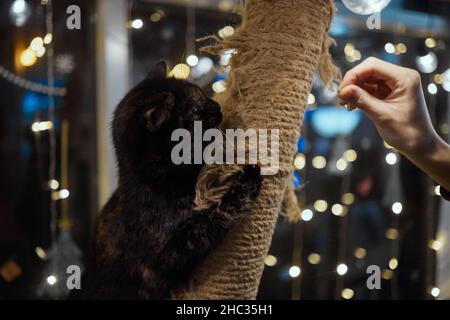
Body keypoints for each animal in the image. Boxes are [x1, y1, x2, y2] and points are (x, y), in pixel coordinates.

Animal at [68, 62, 262, 300]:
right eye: (195, 110)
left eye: (204, 93)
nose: (217, 106)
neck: (152, 180)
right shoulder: (172, 251)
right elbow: (217, 214)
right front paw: (247, 180)